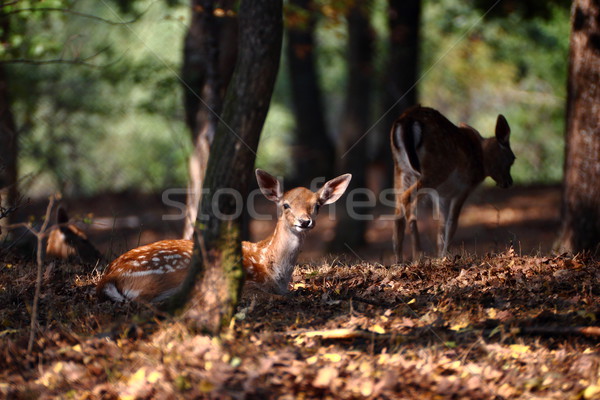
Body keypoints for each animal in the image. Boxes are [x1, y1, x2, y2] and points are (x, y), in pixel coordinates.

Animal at [96, 169, 352, 304]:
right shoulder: (249, 283)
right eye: (285, 205)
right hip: (166, 274)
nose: (305, 221)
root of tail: (109, 276)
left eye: (317, 205)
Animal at [392, 106, 512, 262]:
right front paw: (445, 256)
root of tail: (407, 120)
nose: (509, 182)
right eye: (512, 159)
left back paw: (399, 259)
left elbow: (441, 225)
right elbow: (453, 222)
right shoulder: (464, 187)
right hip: (436, 169)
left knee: (397, 209)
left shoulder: (442, 196)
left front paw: (440, 255)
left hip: (400, 170)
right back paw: (418, 254)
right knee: (408, 200)